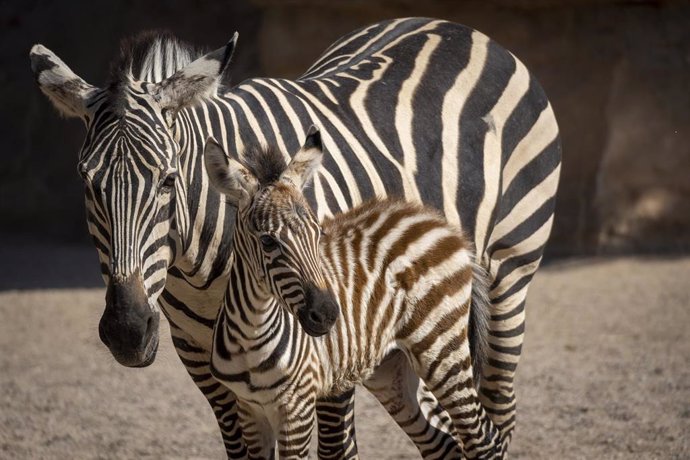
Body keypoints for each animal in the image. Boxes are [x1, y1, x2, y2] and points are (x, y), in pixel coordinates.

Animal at [203, 127, 500, 458]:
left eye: (318, 233)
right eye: (267, 242)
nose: (328, 314)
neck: (250, 339)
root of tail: (441, 223)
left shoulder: (297, 408)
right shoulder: (249, 408)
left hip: (441, 349)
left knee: (484, 436)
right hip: (391, 370)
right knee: (444, 443)